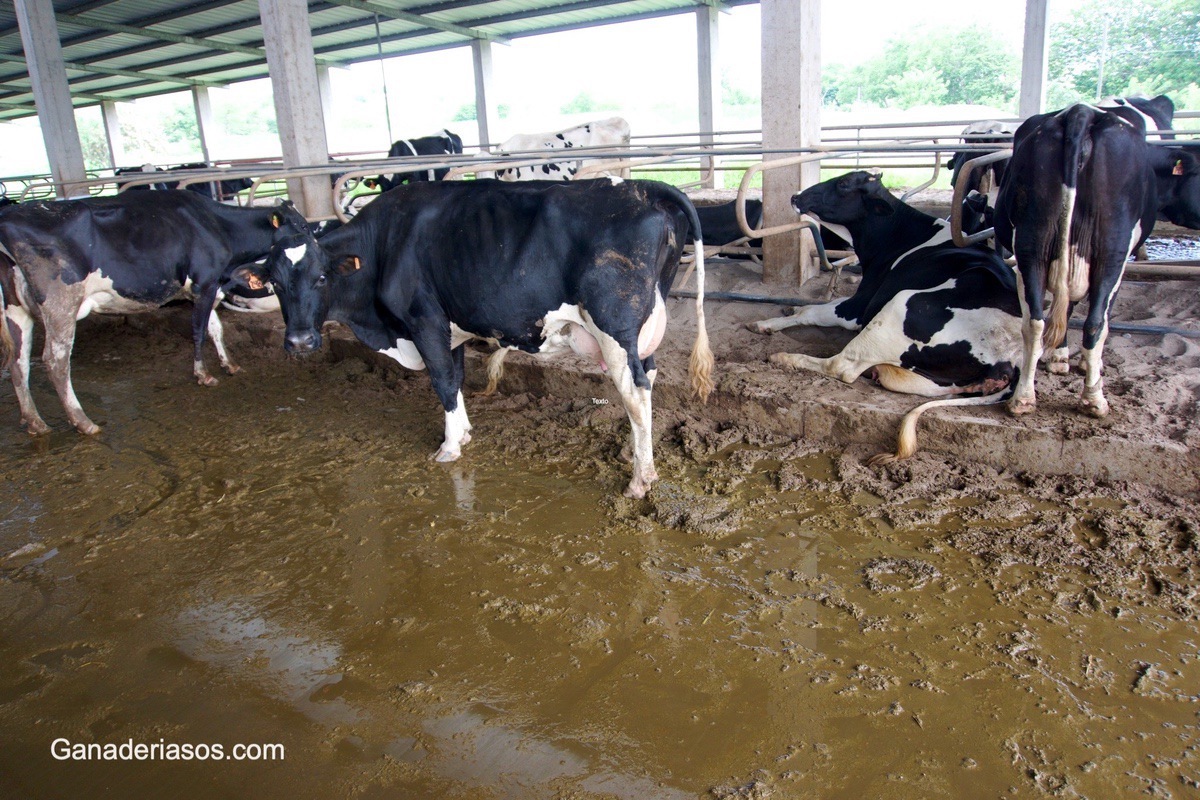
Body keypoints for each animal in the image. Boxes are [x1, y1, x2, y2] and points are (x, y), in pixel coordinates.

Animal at [0, 190, 278, 434]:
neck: (216, 224)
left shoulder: (207, 288)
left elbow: (215, 329)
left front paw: (229, 364)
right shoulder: (205, 284)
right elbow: (199, 332)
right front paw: (203, 374)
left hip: (16, 310)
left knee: (18, 361)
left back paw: (35, 421)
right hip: (61, 304)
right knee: (55, 361)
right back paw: (83, 422)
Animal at [230, 178, 715, 496]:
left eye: (321, 277)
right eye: (275, 282)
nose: (299, 342)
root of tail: (644, 186)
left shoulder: (424, 319)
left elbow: (442, 380)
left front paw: (448, 448)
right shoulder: (450, 326)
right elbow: (458, 377)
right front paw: (462, 433)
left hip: (615, 327)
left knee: (635, 392)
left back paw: (640, 479)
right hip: (644, 330)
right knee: (648, 382)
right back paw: (637, 458)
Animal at [753, 173, 1017, 462]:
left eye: (844, 184)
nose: (795, 195)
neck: (896, 236)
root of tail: (1011, 357)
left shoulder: (860, 306)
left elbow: (814, 311)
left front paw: (766, 324)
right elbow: (816, 306)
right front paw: (787, 311)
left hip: (900, 303)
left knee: (841, 366)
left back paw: (784, 358)